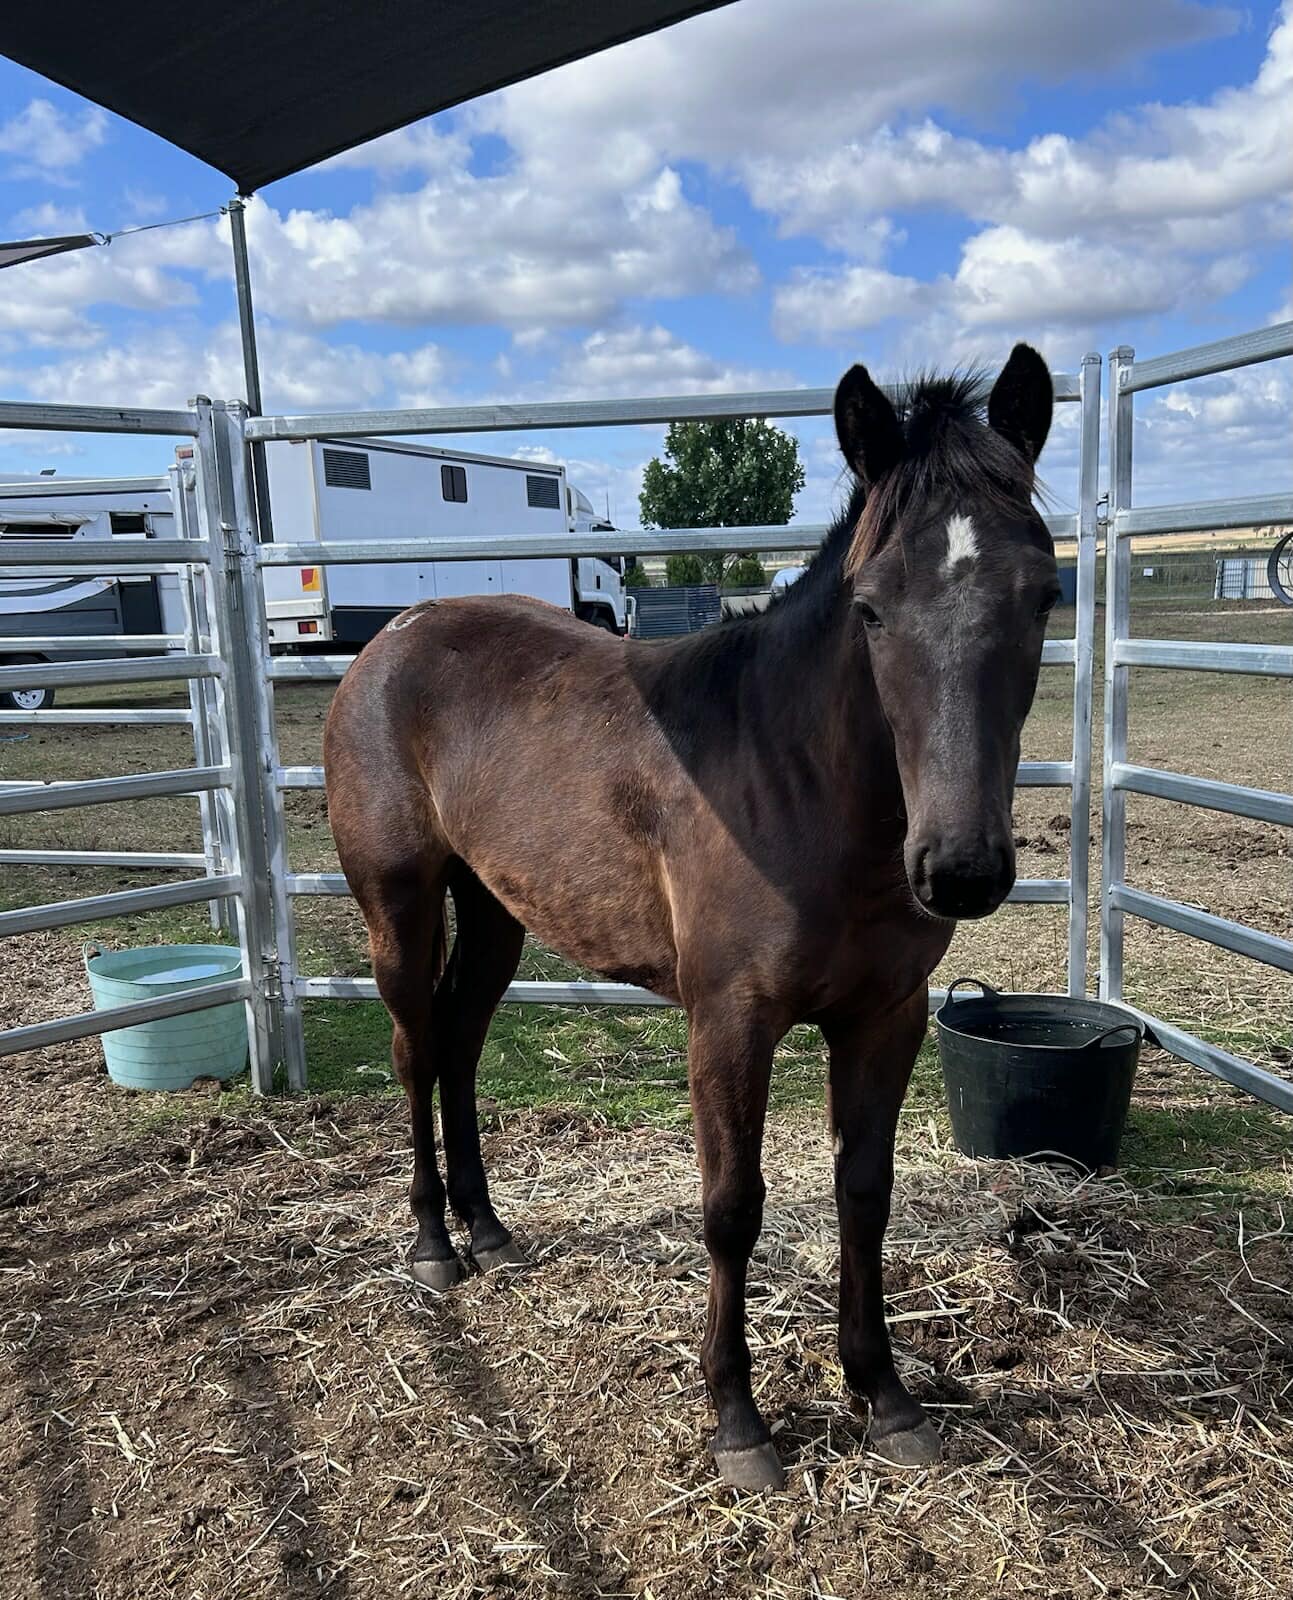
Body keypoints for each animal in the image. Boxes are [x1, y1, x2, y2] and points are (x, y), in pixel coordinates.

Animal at [324, 345, 1058, 1492]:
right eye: (872, 608)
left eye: (1044, 595)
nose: (961, 867)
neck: (793, 781)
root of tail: (392, 639)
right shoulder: (729, 1022)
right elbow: (731, 1207)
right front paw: (738, 1420)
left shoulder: (886, 1016)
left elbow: (864, 1192)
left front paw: (884, 1395)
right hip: (398, 903)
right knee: (412, 1051)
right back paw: (435, 1246)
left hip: (494, 915)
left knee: (459, 1047)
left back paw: (488, 1230)